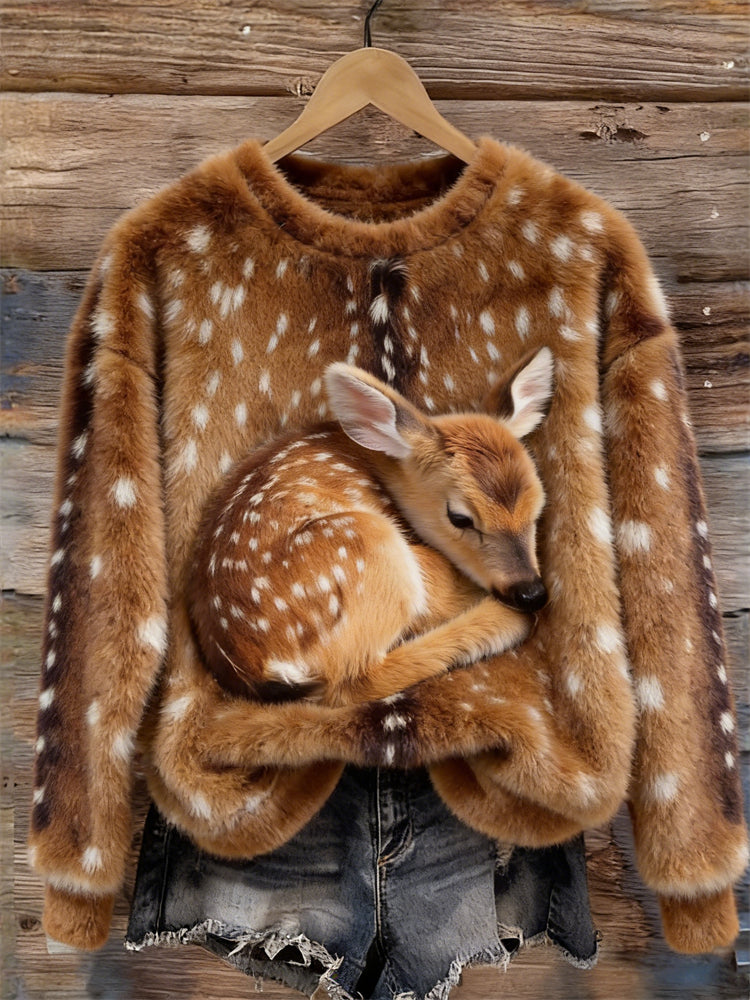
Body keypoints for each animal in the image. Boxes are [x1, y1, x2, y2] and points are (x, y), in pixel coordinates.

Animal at [188, 348, 554, 709]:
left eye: (539, 503)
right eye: (459, 517)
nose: (531, 592)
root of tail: (258, 668)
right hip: (369, 546)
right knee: (351, 679)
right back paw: (502, 622)